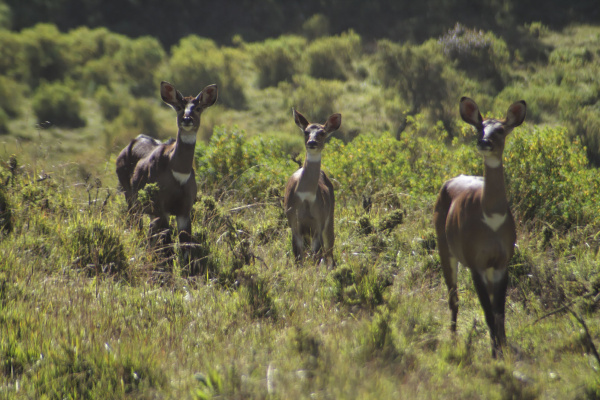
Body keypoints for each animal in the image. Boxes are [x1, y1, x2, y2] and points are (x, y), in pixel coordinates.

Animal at [115, 80, 218, 252]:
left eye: (198, 108)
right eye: (179, 107)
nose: (187, 119)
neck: (178, 172)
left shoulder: (184, 209)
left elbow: (185, 243)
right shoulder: (160, 207)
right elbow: (167, 243)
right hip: (129, 196)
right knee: (136, 225)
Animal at [282, 109, 340, 266]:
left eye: (322, 132)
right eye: (306, 132)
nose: (312, 142)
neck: (306, 197)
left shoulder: (318, 223)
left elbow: (316, 256)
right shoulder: (294, 223)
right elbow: (298, 258)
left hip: (330, 217)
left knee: (329, 253)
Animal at [434, 97, 528, 360]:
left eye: (500, 129)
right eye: (480, 128)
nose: (484, 142)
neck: (492, 218)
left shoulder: (501, 262)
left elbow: (499, 311)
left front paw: (502, 349)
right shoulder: (475, 261)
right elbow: (487, 311)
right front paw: (495, 354)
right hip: (445, 249)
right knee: (453, 297)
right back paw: (453, 338)